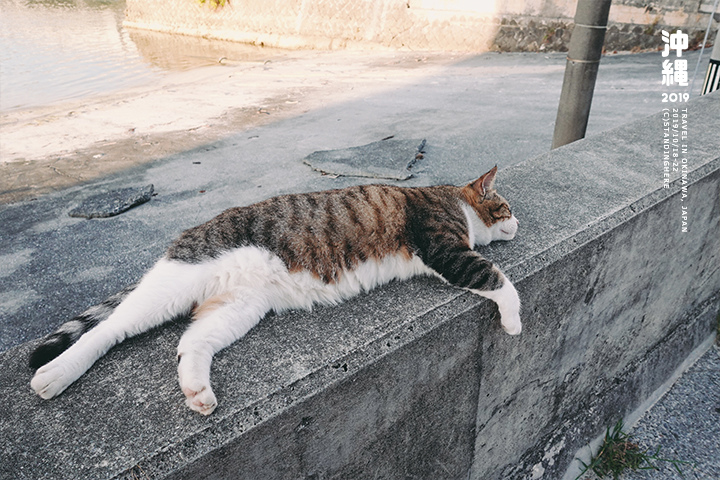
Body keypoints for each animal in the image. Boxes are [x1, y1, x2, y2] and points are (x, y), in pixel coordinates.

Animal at [31, 165, 520, 412]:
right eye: (506, 206)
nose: (518, 221)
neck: (452, 199)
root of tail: (184, 238)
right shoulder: (443, 248)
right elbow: (497, 278)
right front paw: (514, 320)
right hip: (177, 282)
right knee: (109, 328)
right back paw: (56, 373)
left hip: (240, 306)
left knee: (190, 343)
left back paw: (198, 392)